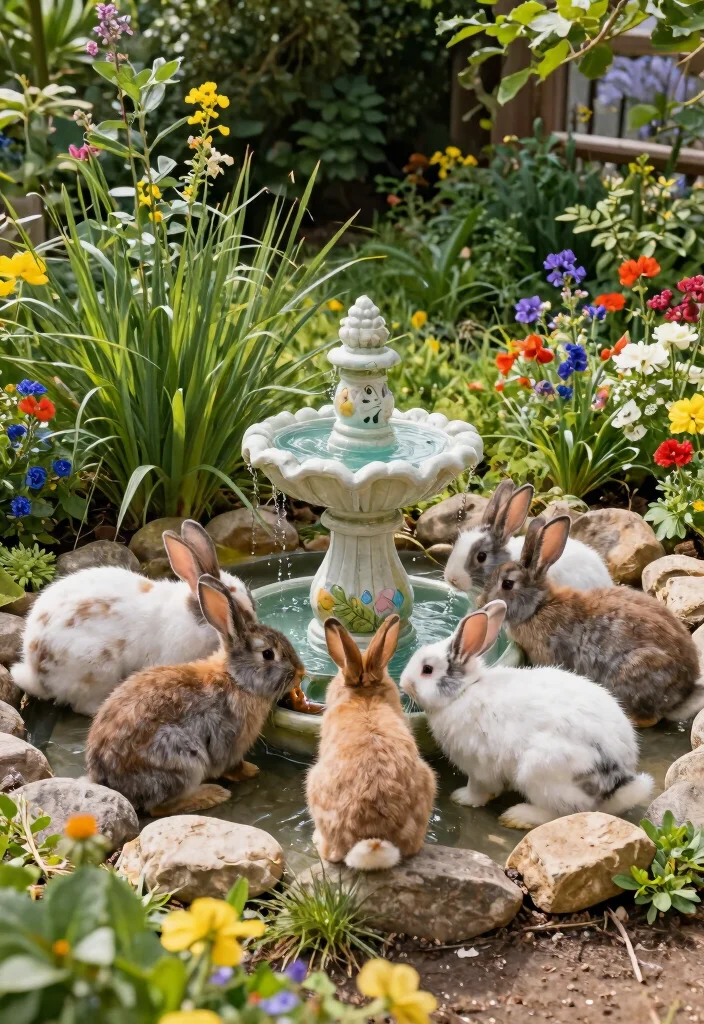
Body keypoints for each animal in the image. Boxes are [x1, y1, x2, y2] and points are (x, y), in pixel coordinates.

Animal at [85, 574, 305, 815]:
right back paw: (212, 794)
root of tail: (108, 779)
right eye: (267, 654)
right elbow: (232, 766)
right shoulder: (229, 741)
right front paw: (250, 770)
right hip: (181, 758)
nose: (300, 672)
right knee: (160, 808)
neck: (236, 680)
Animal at [400, 600, 653, 830]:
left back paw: (518, 816)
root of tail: (615, 784)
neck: (463, 691)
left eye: (427, 670)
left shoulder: (478, 766)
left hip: (540, 770)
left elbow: (479, 789)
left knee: (564, 811)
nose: (403, 683)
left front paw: (461, 797)